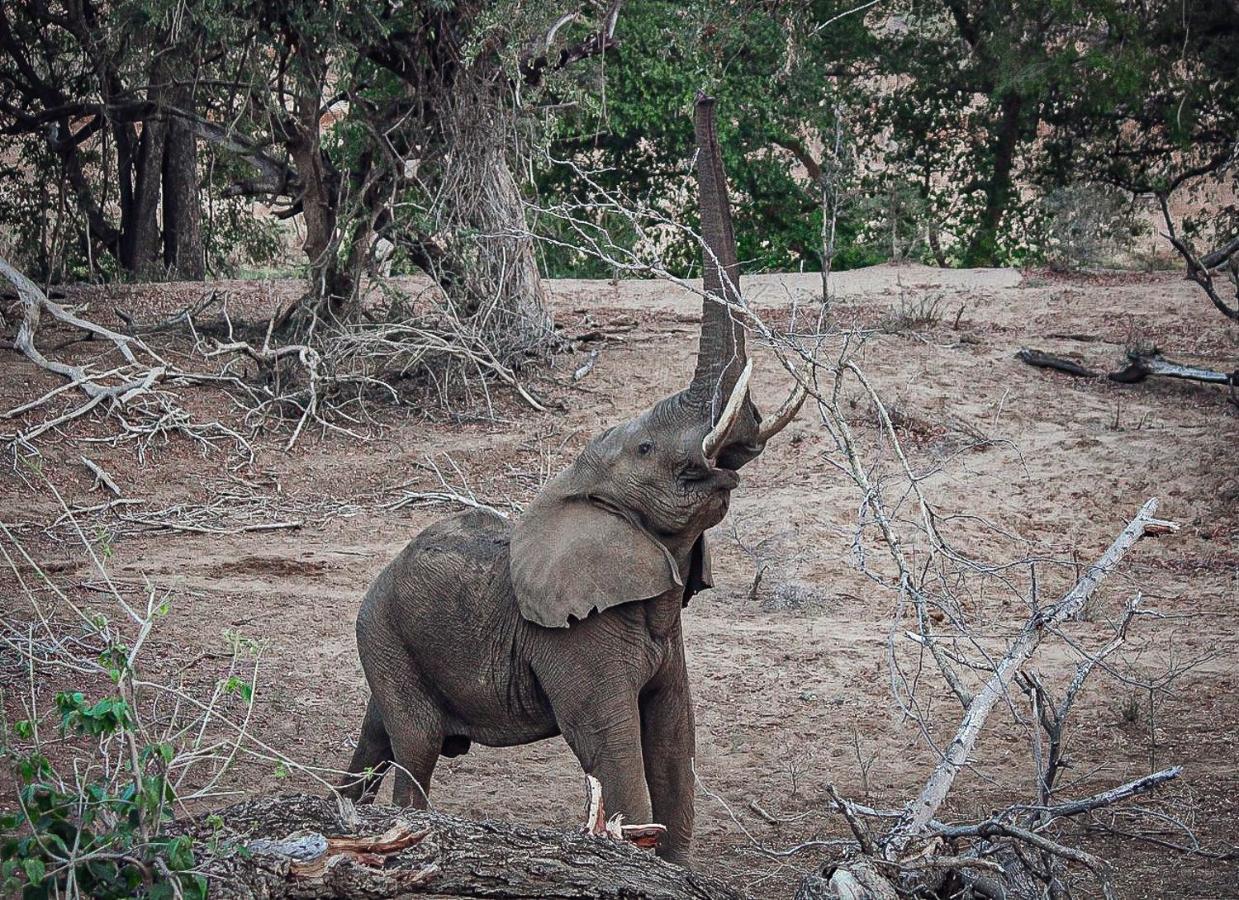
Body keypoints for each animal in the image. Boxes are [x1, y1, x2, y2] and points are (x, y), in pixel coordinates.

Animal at [341, 96, 802, 867]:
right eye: (647, 448)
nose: (704, 98)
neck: (578, 484)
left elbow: (673, 741)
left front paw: (677, 873)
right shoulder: (573, 639)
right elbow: (614, 748)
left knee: (376, 733)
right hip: (383, 633)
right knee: (415, 744)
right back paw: (402, 827)